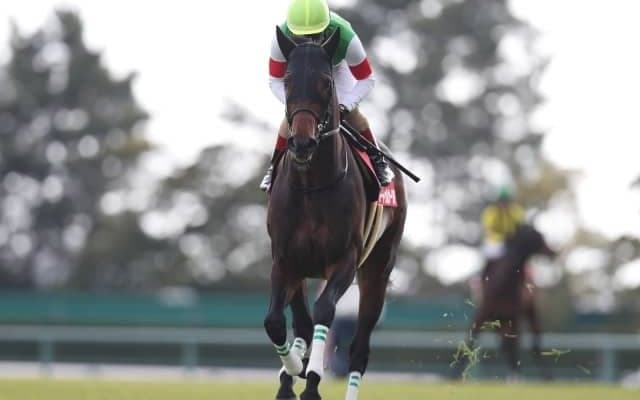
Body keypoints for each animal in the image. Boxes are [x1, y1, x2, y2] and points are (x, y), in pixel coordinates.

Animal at [263, 26, 407, 400]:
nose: (301, 143)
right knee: (301, 323)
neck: (312, 187)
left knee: (359, 349)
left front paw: (311, 381)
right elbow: (277, 322)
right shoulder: (285, 259)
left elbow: (324, 311)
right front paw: (293, 369)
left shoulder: (345, 260)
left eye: (326, 83)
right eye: (287, 81)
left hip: (377, 271)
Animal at [455, 223, 556, 380]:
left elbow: (514, 344)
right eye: (538, 236)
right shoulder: (484, 314)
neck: (503, 284)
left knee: (533, 342)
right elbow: (470, 339)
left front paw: (516, 375)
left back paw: (545, 376)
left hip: (528, 312)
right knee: (506, 344)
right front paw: (454, 374)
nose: (553, 252)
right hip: (500, 321)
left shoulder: (513, 316)